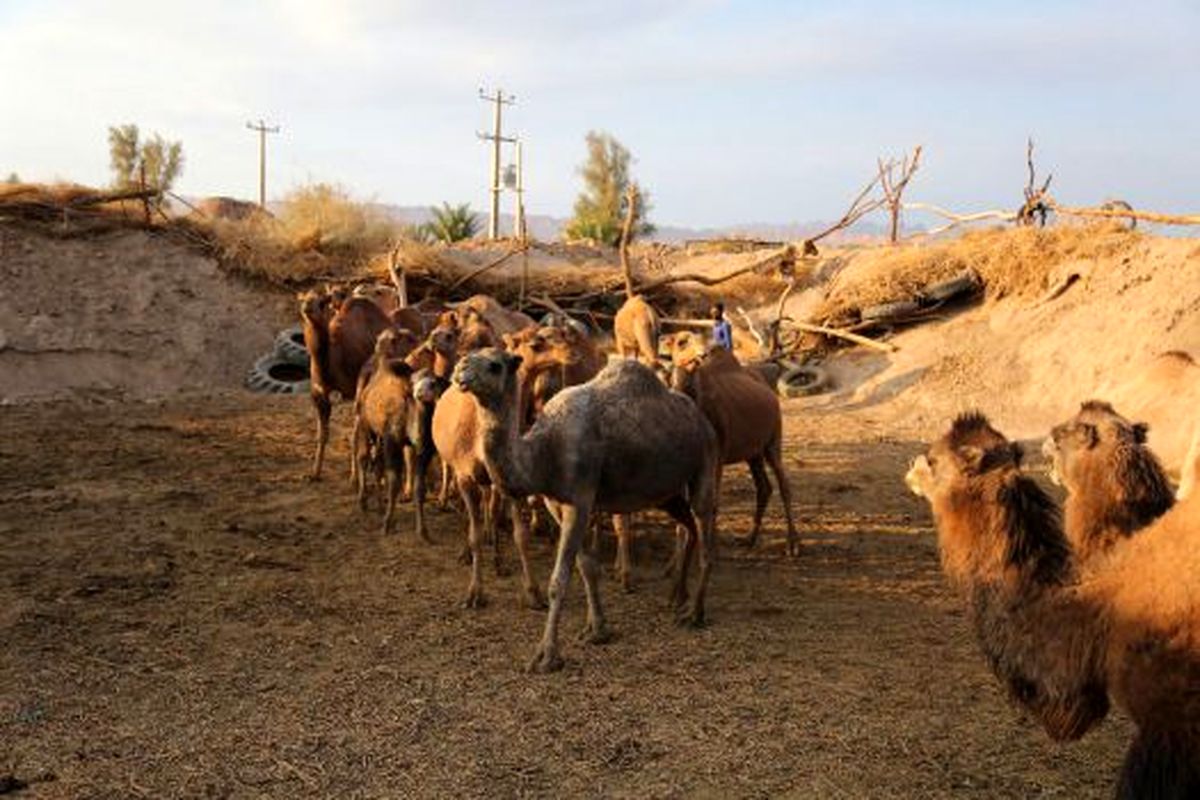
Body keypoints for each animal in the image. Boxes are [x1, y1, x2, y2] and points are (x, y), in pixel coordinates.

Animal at [448, 352, 710, 671]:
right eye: (467, 358)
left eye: (494, 366)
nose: (460, 370)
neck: (543, 453)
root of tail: (698, 415)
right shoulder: (557, 504)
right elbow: (587, 567)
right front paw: (597, 630)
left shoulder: (580, 500)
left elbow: (559, 580)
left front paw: (547, 656)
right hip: (666, 494)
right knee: (689, 527)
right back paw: (677, 597)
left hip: (706, 460)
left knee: (704, 531)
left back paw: (694, 613)